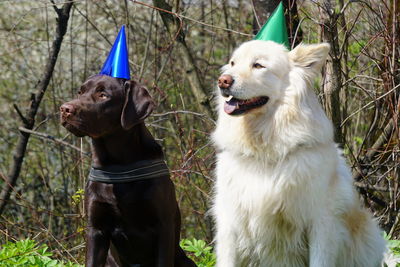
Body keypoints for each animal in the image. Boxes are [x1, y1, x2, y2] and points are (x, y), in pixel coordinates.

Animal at [60, 75, 196, 267]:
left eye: (103, 95)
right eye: (80, 92)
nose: (65, 109)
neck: (119, 165)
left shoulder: (164, 227)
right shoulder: (96, 229)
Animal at [211, 40, 386, 267]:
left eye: (258, 65)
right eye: (233, 63)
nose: (222, 81)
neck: (267, 151)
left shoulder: (321, 224)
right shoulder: (230, 222)